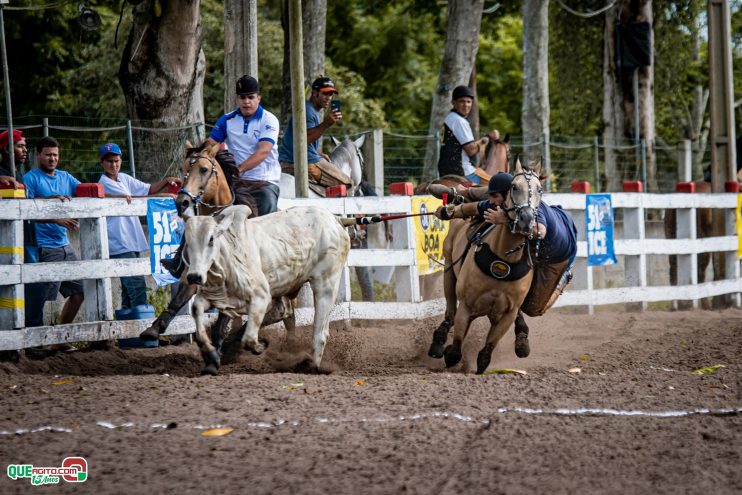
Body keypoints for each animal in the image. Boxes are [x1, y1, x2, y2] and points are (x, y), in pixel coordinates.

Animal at [140, 142, 294, 356]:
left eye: (204, 169)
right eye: (183, 168)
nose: (182, 202)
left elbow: (225, 313)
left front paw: (219, 342)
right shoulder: (195, 275)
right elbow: (178, 300)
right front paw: (154, 329)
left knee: (282, 311)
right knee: (283, 312)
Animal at [183, 203, 352, 374]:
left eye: (211, 239)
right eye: (188, 242)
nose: (194, 276)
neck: (229, 255)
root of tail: (336, 219)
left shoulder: (261, 297)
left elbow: (249, 338)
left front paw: (260, 346)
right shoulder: (216, 296)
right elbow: (197, 311)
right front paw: (211, 355)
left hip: (326, 285)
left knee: (320, 333)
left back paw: (311, 366)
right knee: (283, 311)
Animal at [428, 161, 544, 374]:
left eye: (540, 189)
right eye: (514, 187)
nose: (526, 219)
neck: (503, 260)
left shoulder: (507, 313)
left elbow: (486, 353)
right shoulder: (466, 306)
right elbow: (455, 349)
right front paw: (448, 353)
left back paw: (522, 342)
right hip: (449, 271)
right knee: (450, 312)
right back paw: (438, 342)